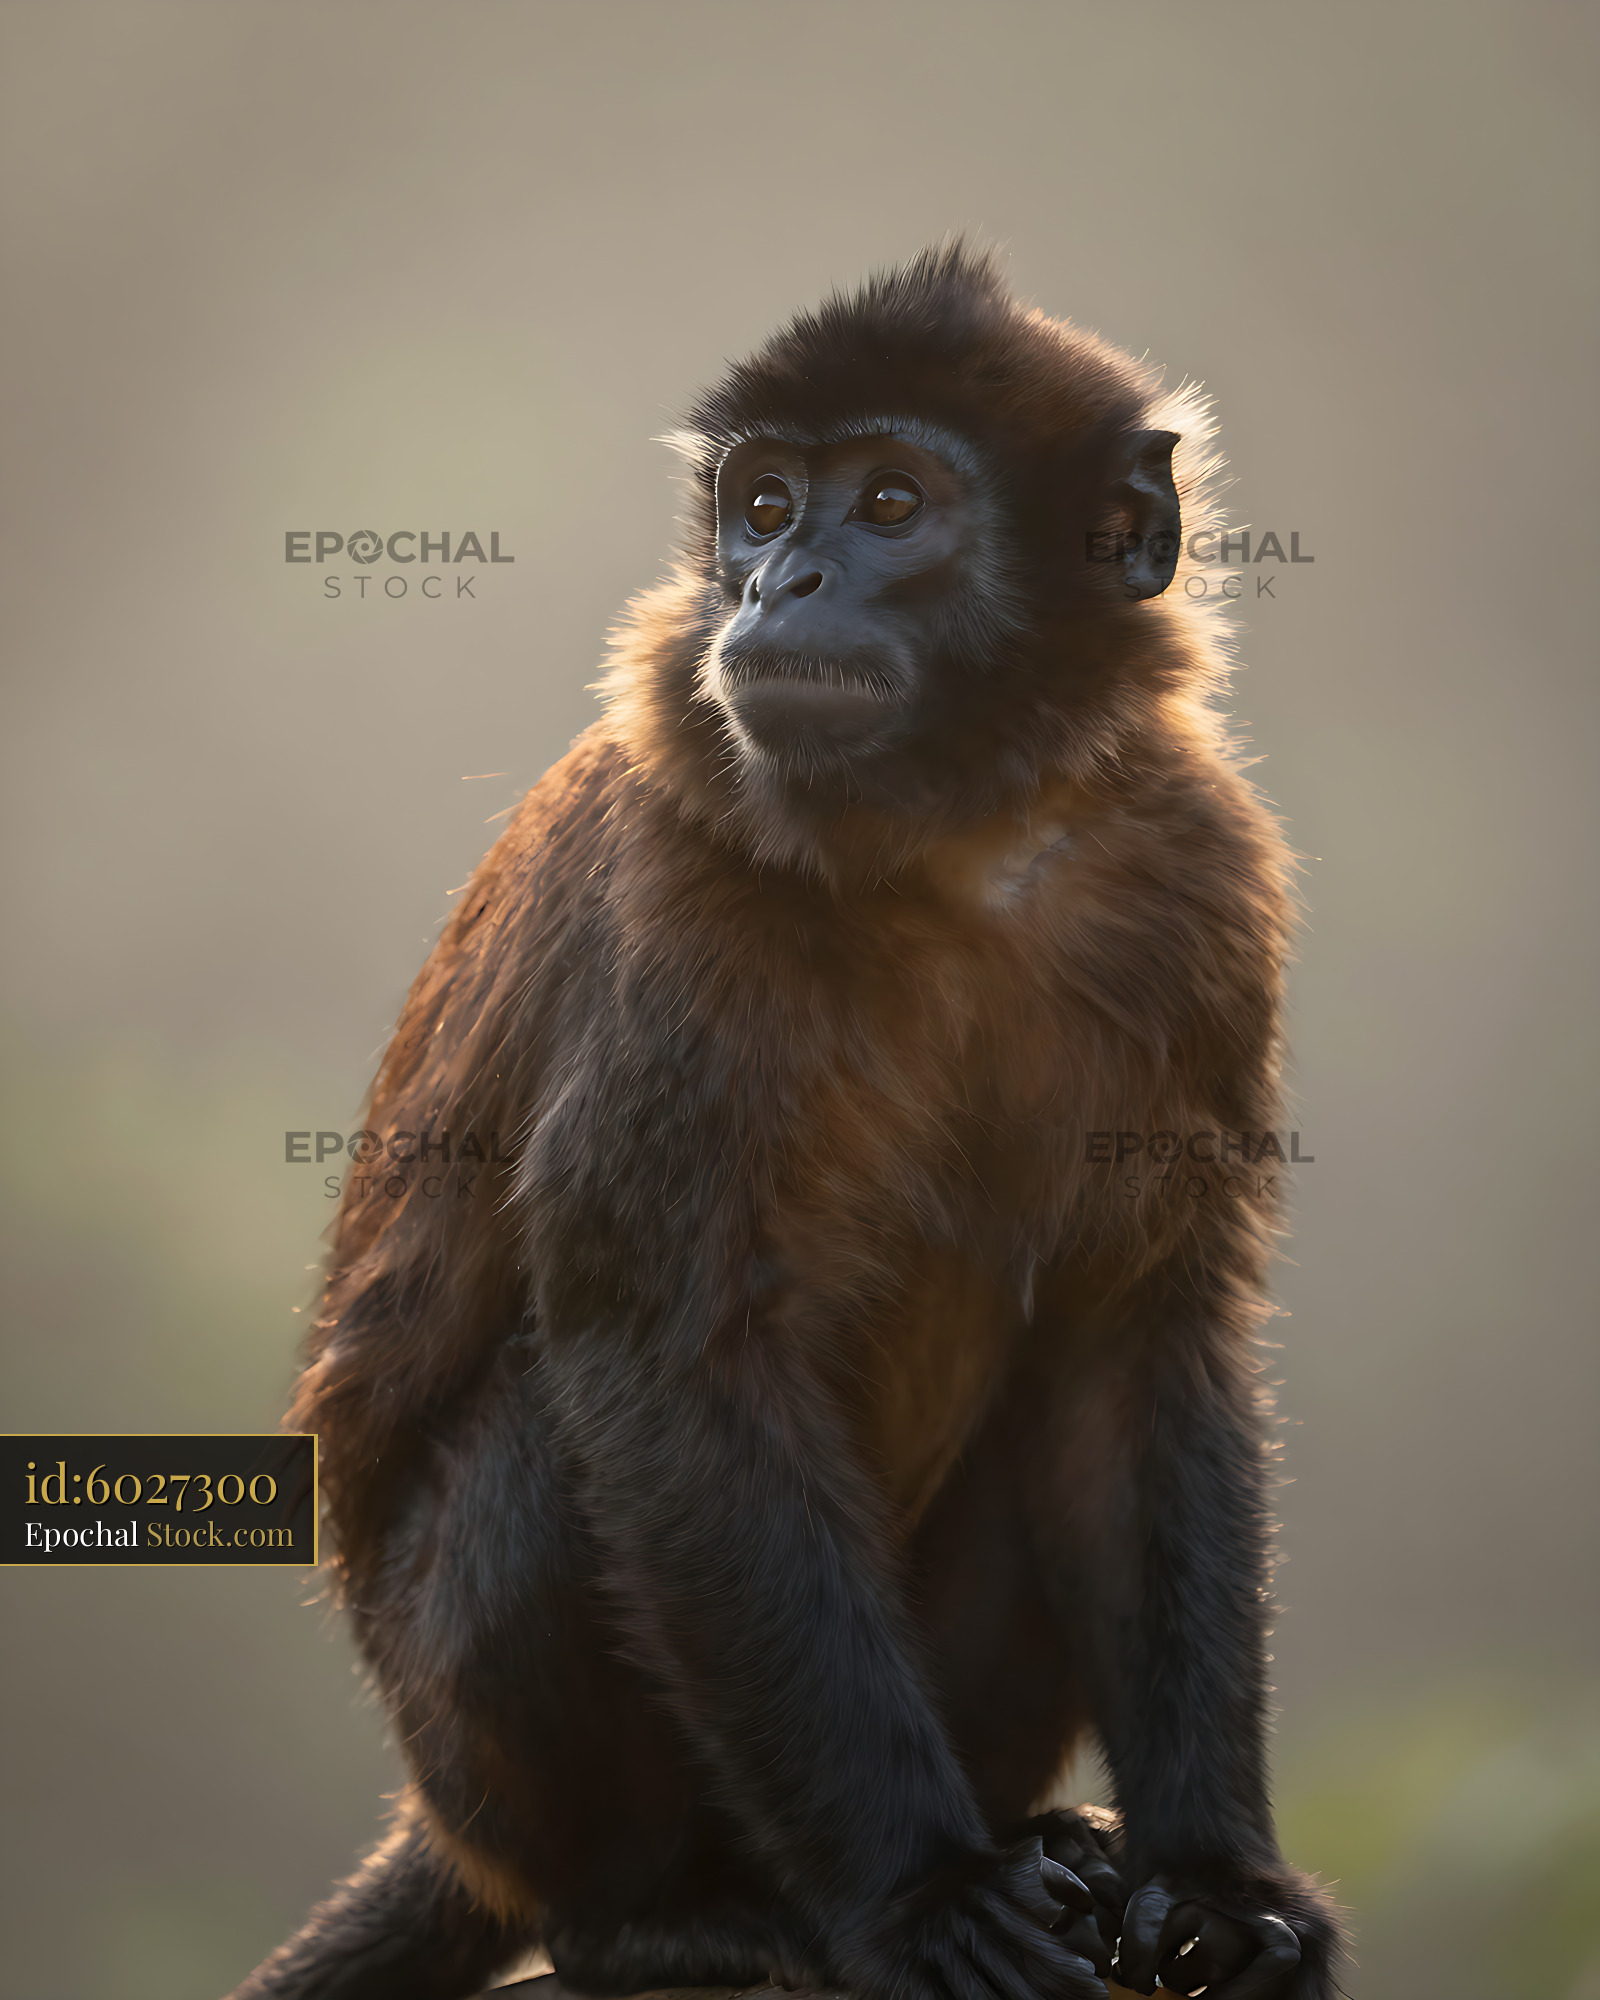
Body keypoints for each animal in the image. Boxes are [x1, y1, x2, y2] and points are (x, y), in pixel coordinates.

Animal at [230, 244, 1342, 2000]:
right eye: (760, 507)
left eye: (889, 503)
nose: (775, 587)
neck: (960, 838)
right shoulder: (684, 881)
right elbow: (669, 1363)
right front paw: (924, 1896)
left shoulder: (1196, 867)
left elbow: (1131, 1352)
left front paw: (1218, 1886)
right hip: (481, 1760)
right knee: (552, 1435)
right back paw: (661, 1913)